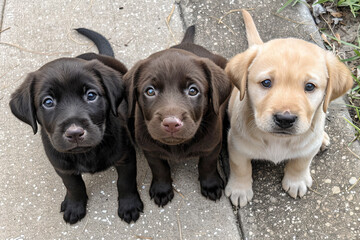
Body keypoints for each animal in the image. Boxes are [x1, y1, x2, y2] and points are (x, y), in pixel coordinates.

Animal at [9, 29, 143, 224]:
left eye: (91, 95)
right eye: (48, 102)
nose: (74, 133)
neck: (87, 153)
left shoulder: (125, 157)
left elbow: (125, 182)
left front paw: (129, 205)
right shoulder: (62, 166)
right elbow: (74, 186)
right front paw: (74, 206)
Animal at [225, 10, 352, 207]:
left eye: (310, 86)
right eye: (266, 83)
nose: (285, 119)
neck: (277, 140)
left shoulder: (308, 147)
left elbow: (301, 163)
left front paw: (296, 181)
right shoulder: (236, 145)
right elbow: (240, 167)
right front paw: (240, 189)